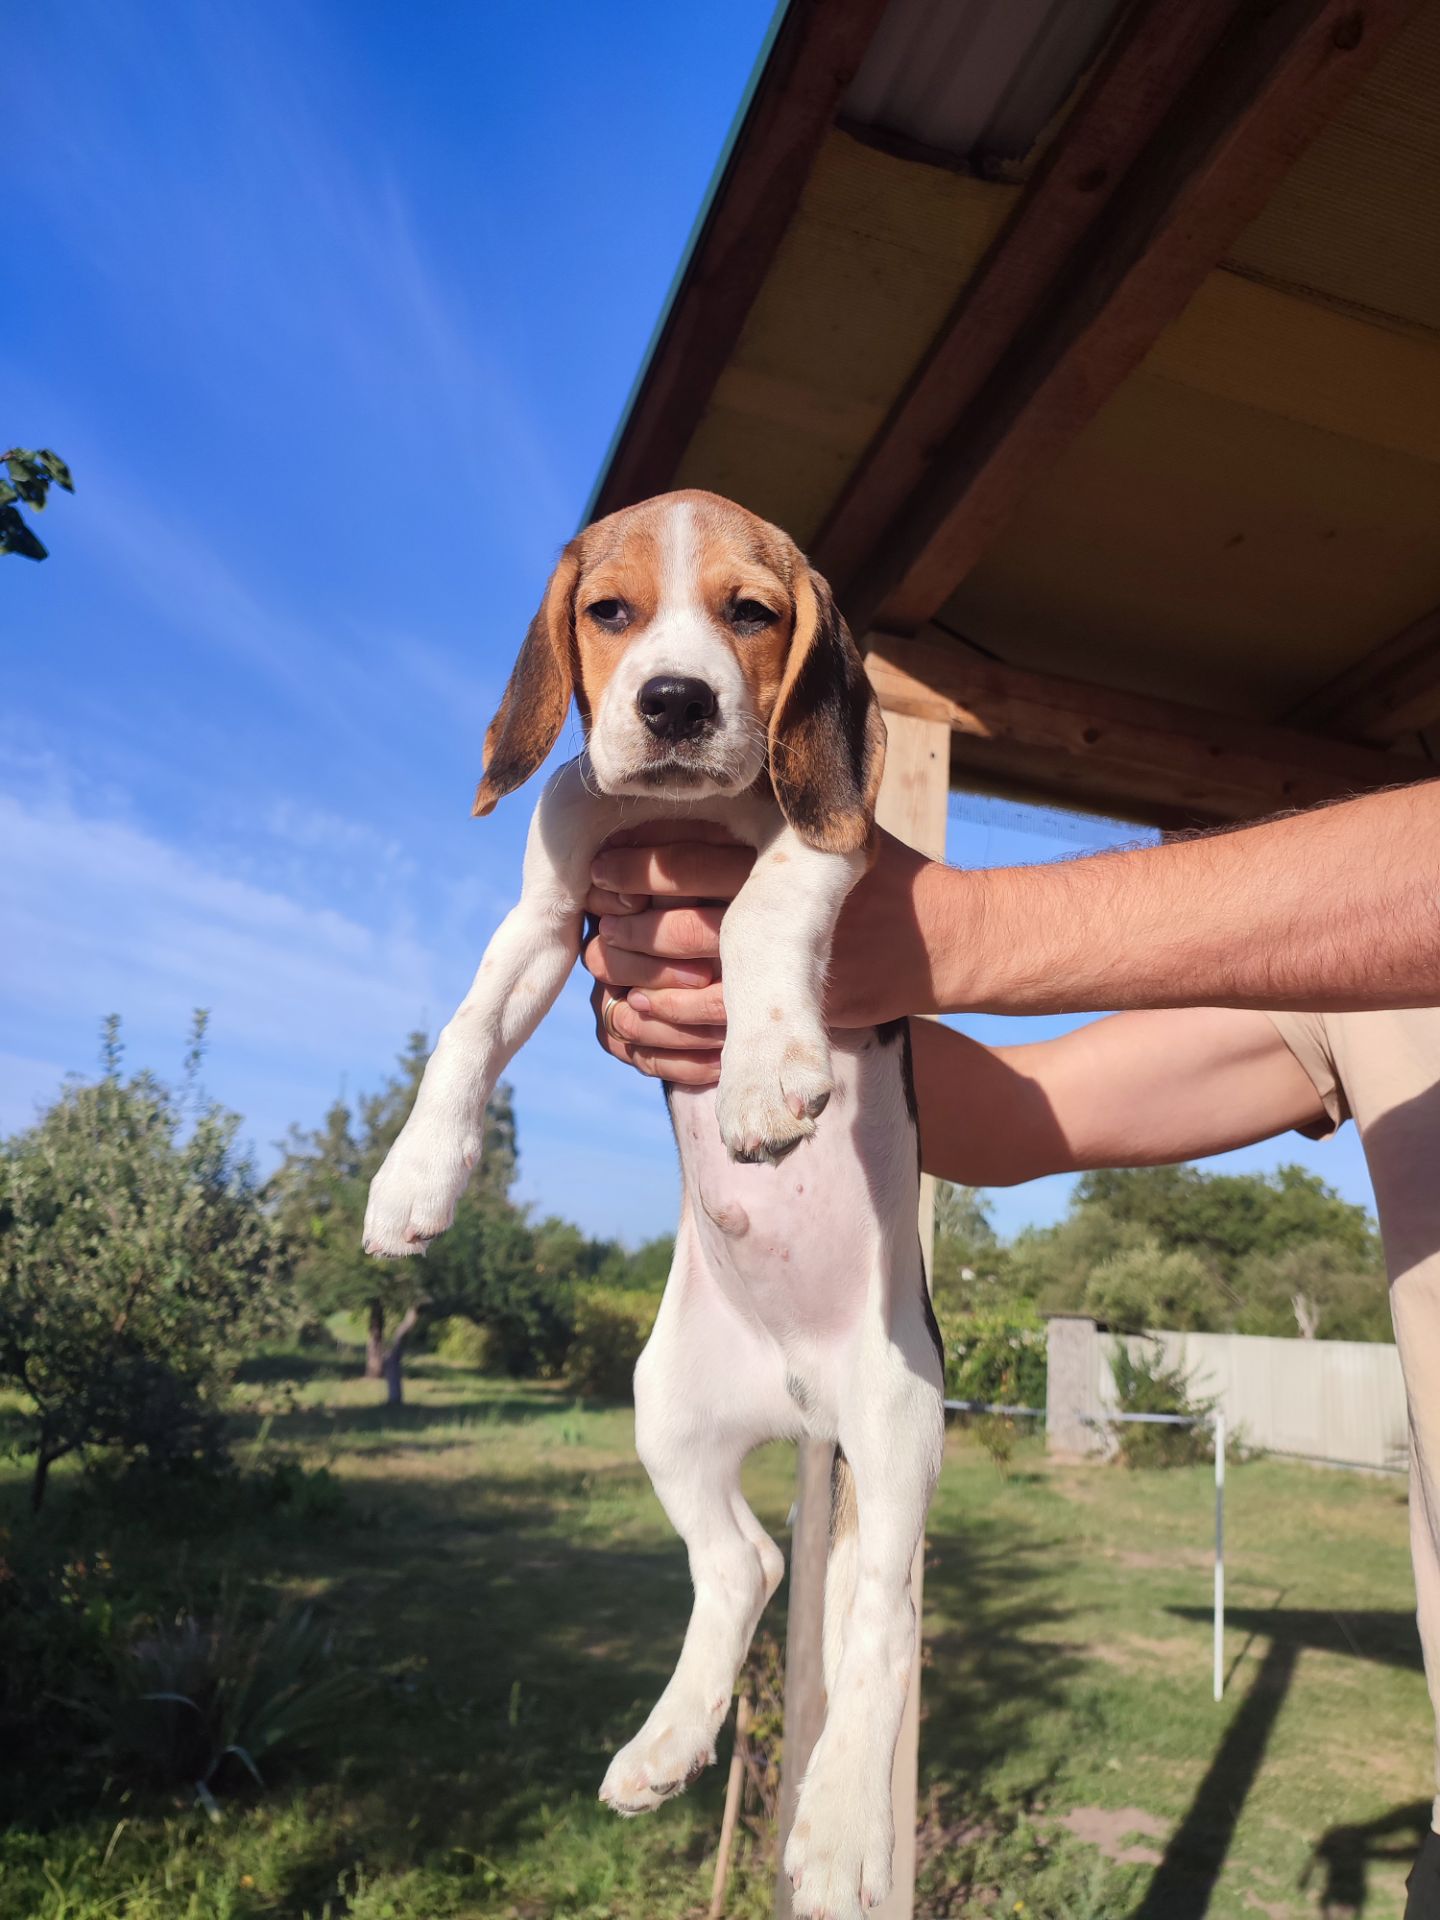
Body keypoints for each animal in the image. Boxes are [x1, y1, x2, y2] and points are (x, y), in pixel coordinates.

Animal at [360, 487, 948, 1912]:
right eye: (609, 612)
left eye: (753, 612)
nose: (676, 702)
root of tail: (803, 1395)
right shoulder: (547, 915)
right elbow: (465, 1025)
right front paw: (415, 1179)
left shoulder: (835, 843)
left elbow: (755, 911)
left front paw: (766, 1075)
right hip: (667, 1405)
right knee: (751, 1564)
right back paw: (667, 1745)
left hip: (899, 1418)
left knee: (883, 1618)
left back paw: (837, 1835)